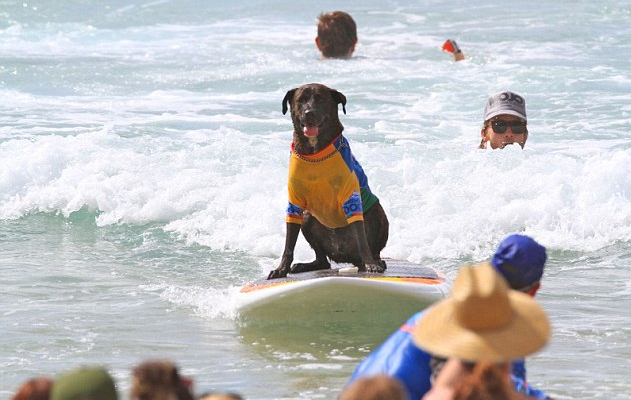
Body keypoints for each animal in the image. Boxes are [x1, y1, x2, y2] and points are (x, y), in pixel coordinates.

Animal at [268, 83, 390, 280]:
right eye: (301, 100)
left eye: (321, 98)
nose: (309, 112)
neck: (315, 153)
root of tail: (346, 257)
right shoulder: (295, 203)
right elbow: (288, 245)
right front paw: (281, 269)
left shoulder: (351, 198)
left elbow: (361, 238)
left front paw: (371, 264)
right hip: (308, 217)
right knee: (323, 260)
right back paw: (305, 265)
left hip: (377, 210)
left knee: (371, 248)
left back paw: (375, 261)